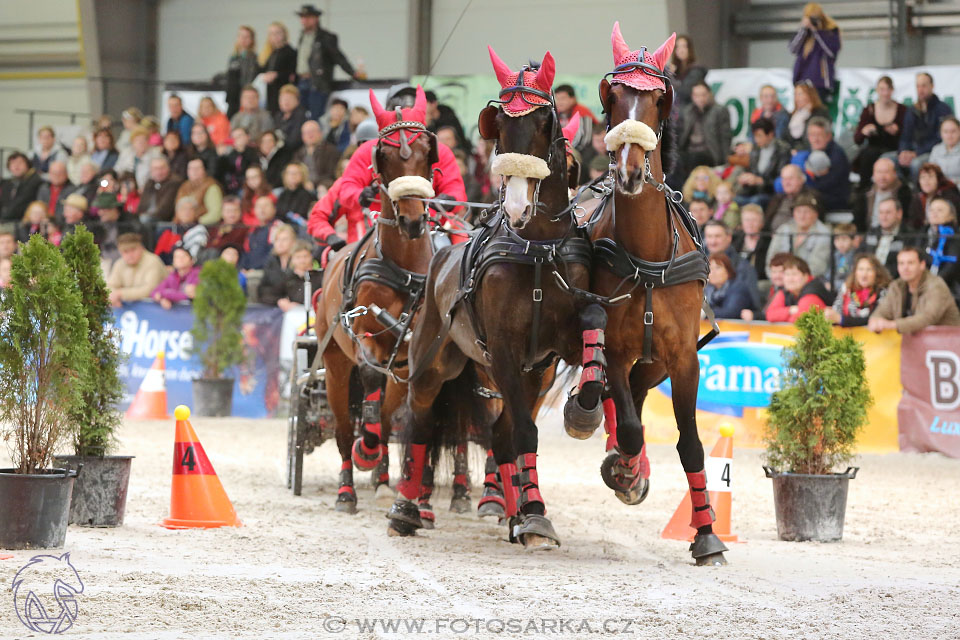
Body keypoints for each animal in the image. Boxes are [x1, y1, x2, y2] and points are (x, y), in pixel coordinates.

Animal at [384, 50, 608, 552]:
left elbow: (593, 320)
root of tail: (441, 255)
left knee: (499, 435)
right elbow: (524, 431)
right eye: (500, 123)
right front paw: (535, 516)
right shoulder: (504, 349)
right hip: (434, 362)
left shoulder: (550, 354)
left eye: (545, 121)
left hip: (525, 375)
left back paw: (514, 512)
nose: (518, 206)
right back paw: (406, 509)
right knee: (421, 421)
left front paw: (585, 410)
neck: (538, 248)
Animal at [584, 23, 728, 564]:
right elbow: (626, 424)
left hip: (656, 362)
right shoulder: (616, 346)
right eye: (614, 97)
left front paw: (707, 535)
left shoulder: (685, 357)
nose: (628, 171)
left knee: (638, 396)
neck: (647, 257)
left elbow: (691, 444)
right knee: (613, 399)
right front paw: (624, 467)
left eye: (657, 101)